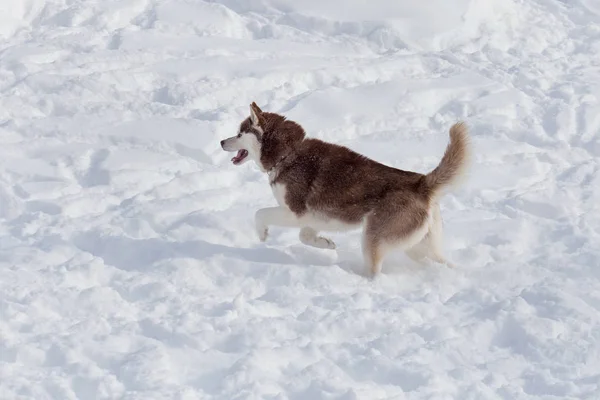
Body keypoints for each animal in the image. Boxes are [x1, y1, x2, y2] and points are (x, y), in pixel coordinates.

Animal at [218, 101, 472, 276]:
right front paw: (325, 244)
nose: (221, 141)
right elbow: (305, 236)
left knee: (375, 272)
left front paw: (262, 234)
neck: (287, 154)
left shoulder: (294, 212)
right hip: (419, 246)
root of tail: (421, 183)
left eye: (239, 133)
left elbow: (259, 214)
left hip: (373, 236)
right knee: (443, 262)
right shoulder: (312, 218)